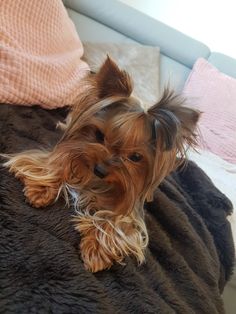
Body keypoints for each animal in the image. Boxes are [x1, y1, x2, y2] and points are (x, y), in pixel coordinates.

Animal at [2, 56, 200, 272]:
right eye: (99, 135)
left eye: (136, 157)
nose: (100, 170)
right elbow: (58, 163)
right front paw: (41, 190)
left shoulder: (131, 215)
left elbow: (117, 224)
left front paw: (96, 250)